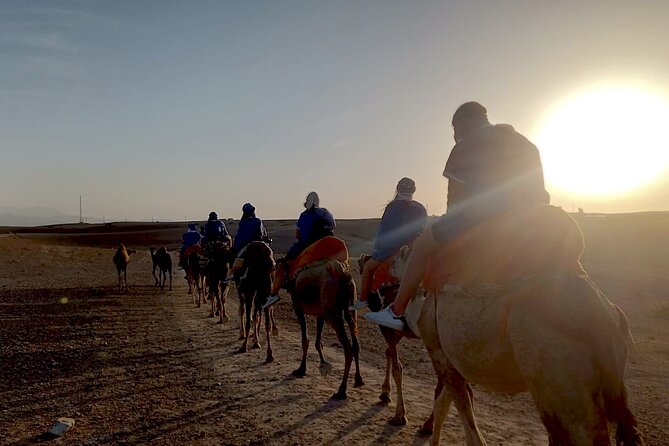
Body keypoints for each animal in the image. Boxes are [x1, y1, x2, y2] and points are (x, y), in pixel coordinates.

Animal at [270, 256, 362, 398]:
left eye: (276, 269)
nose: (272, 291)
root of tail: (342, 274)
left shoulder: (298, 308)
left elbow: (305, 340)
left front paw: (301, 369)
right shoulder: (321, 313)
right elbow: (318, 342)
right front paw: (323, 364)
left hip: (332, 312)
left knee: (348, 349)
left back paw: (341, 390)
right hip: (351, 305)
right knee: (355, 343)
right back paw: (358, 380)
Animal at [396, 206, 640, 446]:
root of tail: (602, 317)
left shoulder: (438, 350)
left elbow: (469, 428)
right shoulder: (452, 360)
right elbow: (442, 407)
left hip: (558, 380)